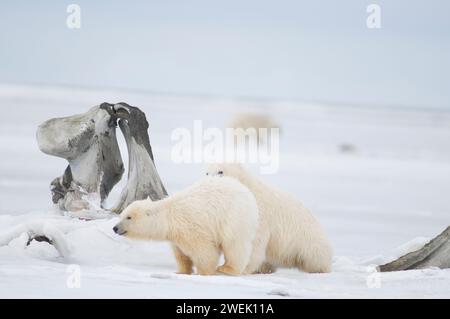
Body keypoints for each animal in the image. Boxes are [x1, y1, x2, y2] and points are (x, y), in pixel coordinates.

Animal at [112, 176, 262, 276]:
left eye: (128, 217)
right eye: (121, 215)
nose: (115, 228)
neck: (168, 217)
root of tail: (249, 195)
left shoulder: (189, 227)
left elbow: (204, 251)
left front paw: (204, 272)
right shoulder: (175, 235)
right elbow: (181, 254)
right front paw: (181, 271)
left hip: (234, 217)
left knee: (234, 244)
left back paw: (228, 268)